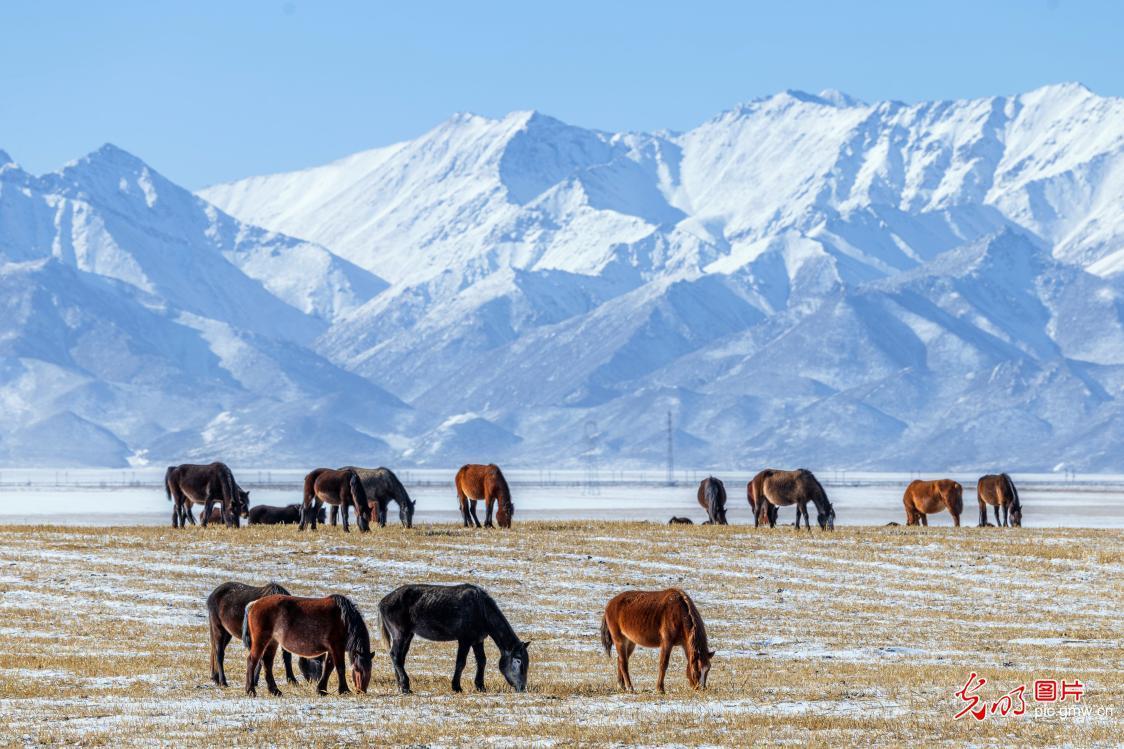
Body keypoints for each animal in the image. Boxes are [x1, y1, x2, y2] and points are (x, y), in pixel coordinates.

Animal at [242, 594, 372, 696]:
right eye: (357, 669)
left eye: (369, 670)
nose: (361, 691)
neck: (343, 619)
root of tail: (254, 604)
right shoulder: (337, 647)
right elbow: (340, 667)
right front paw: (344, 690)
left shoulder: (331, 649)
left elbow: (328, 668)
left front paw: (321, 690)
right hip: (261, 641)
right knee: (252, 661)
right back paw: (251, 690)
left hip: (272, 642)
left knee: (267, 663)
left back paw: (275, 691)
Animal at [377, 583, 529, 694]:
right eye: (518, 660)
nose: (522, 688)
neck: (480, 609)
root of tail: (383, 602)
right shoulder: (464, 640)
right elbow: (461, 663)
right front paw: (456, 687)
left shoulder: (478, 640)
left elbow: (482, 661)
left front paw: (480, 686)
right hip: (400, 634)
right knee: (395, 655)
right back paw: (405, 687)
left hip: (408, 635)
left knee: (400, 657)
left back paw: (400, 685)